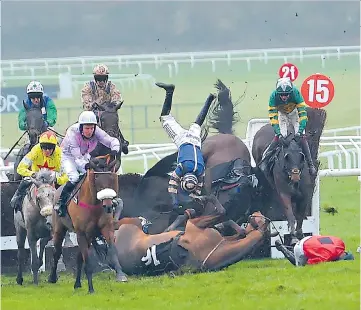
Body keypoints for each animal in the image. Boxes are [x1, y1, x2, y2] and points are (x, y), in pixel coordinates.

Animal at [47, 155, 126, 294]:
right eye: (96, 177)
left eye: (112, 177)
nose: (108, 205)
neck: (93, 205)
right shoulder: (81, 233)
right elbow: (87, 261)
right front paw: (91, 289)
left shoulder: (106, 228)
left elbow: (112, 250)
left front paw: (120, 274)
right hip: (59, 229)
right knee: (57, 252)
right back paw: (52, 278)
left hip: (88, 236)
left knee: (79, 258)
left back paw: (77, 283)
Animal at [250, 108, 326, 246]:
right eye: (286, 157)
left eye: (302, 156)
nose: (295, 176)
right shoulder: (285, 194)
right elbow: (291, 216)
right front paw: (293, 236)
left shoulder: (305, 195)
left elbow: (300, 217)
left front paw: (300, 234)